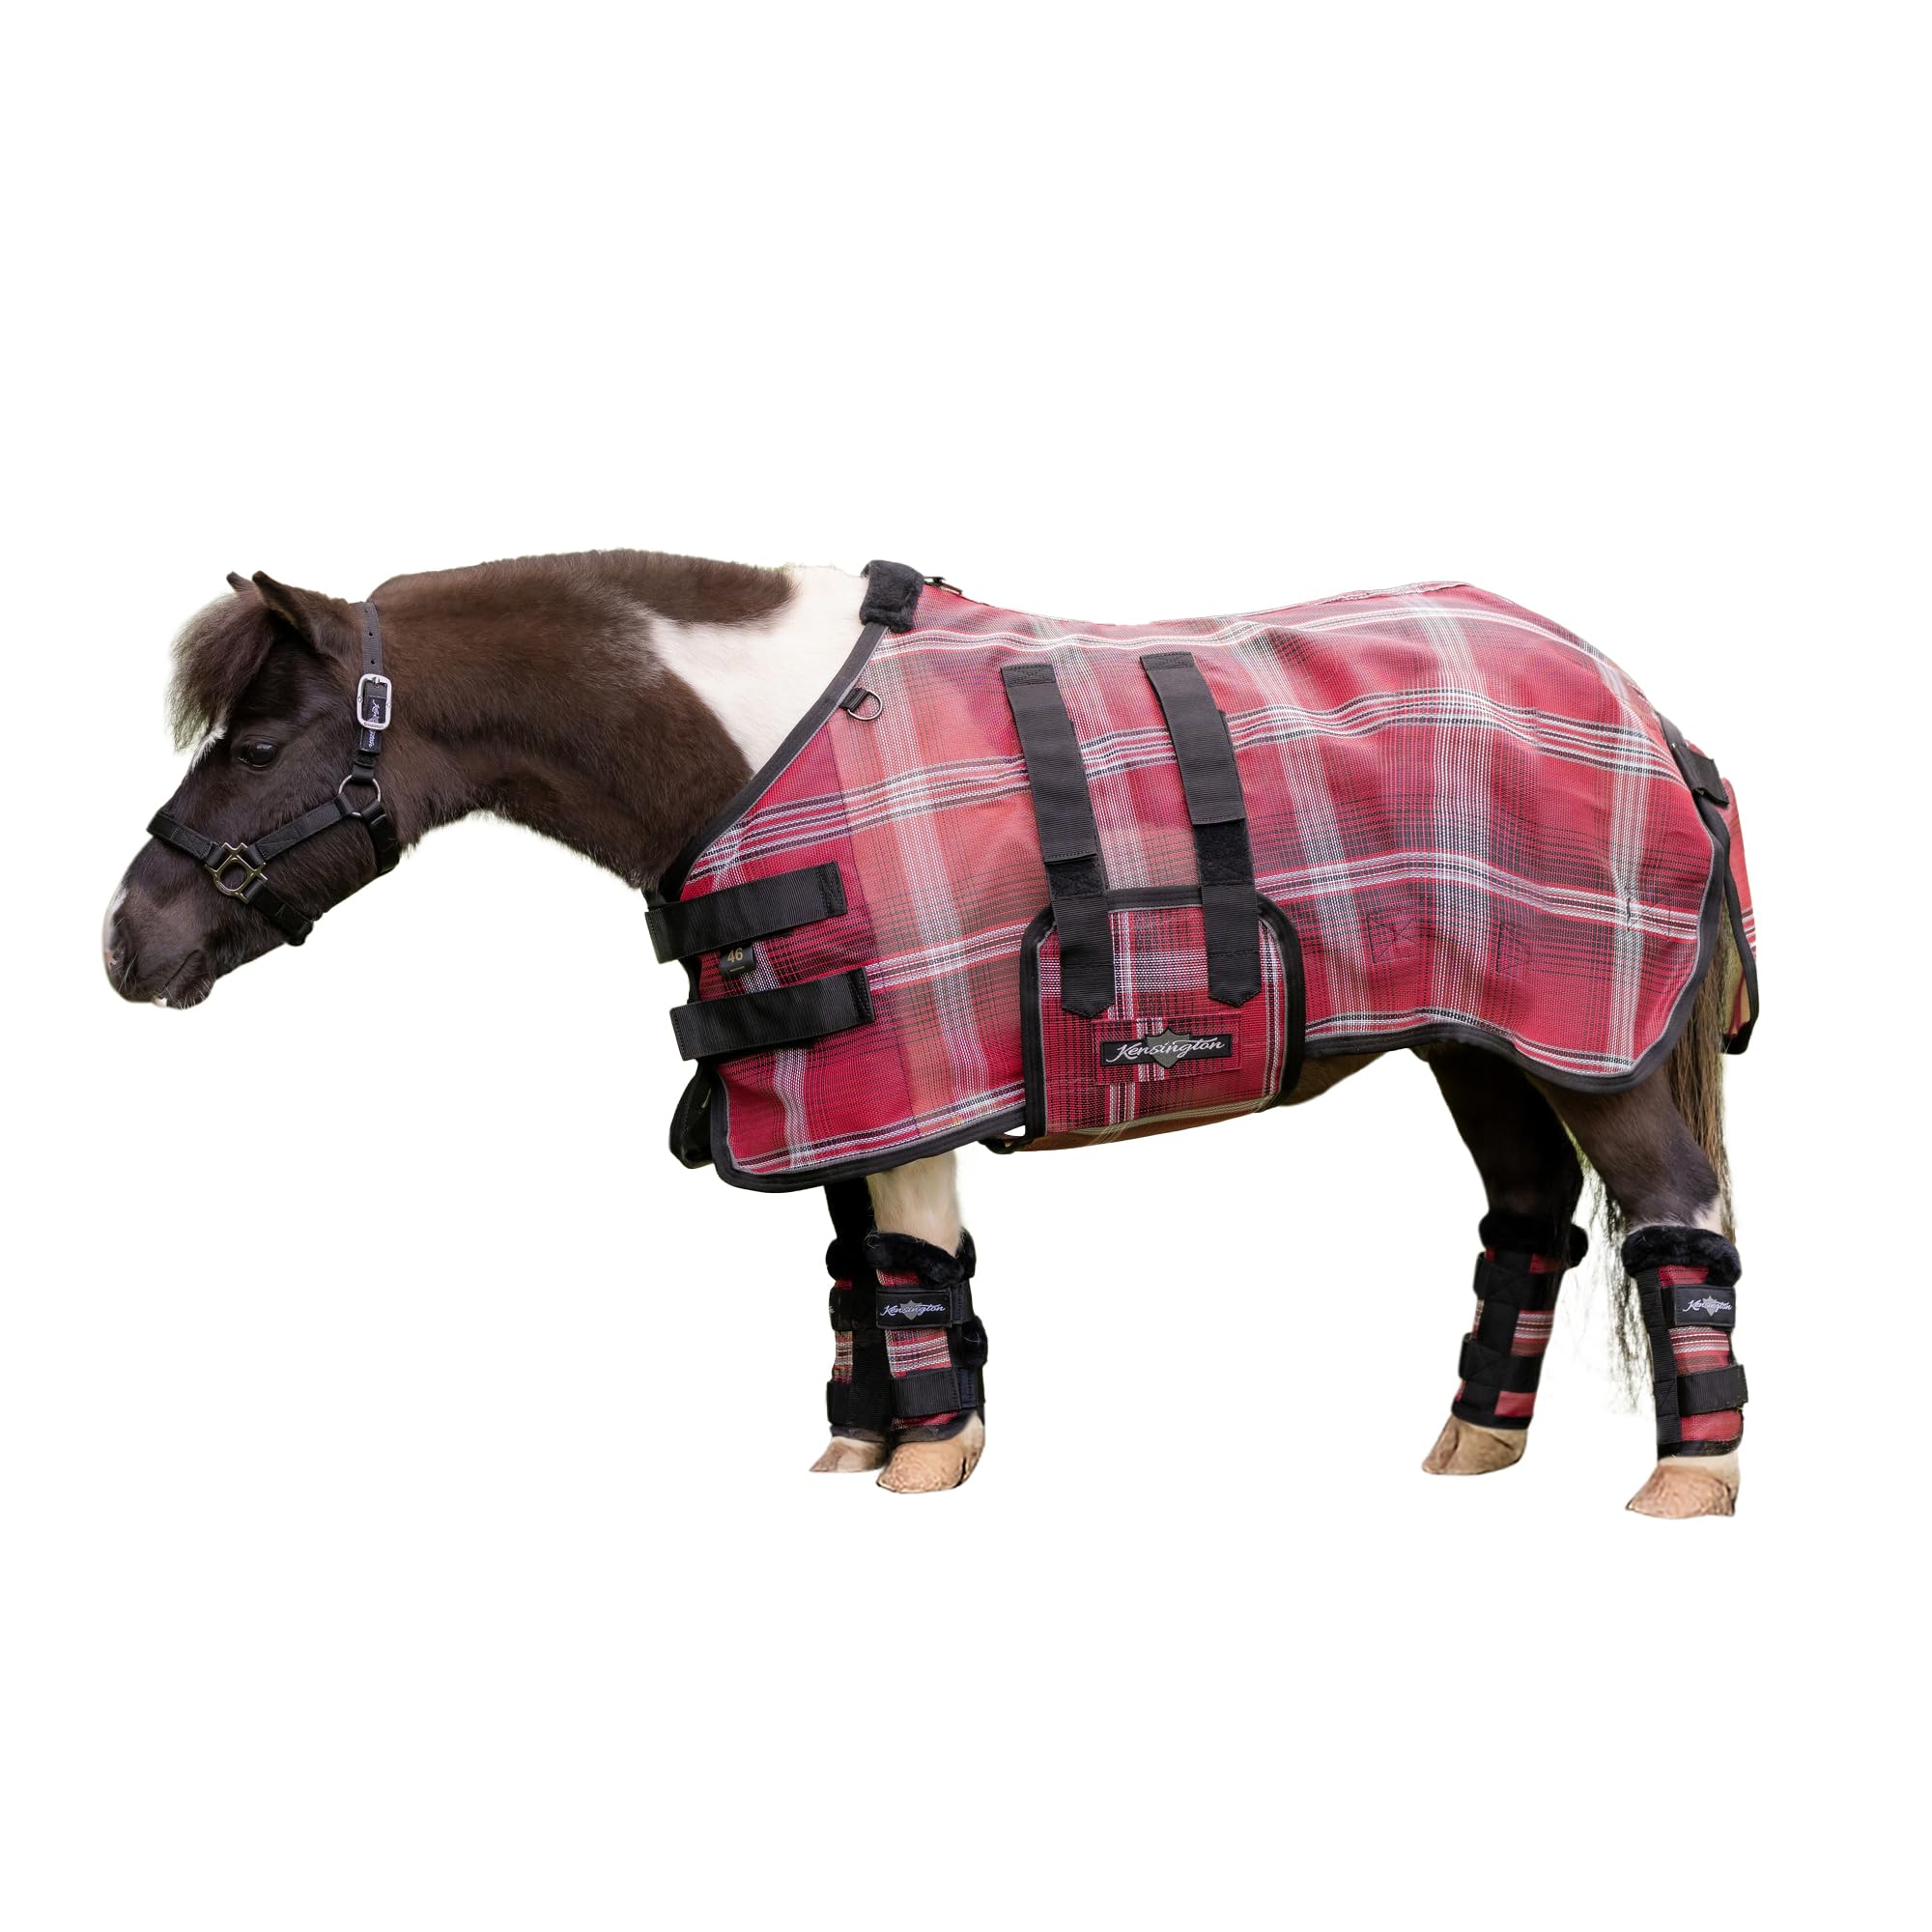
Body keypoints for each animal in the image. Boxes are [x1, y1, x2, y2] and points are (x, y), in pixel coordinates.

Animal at [103, 551, 1755, 1514]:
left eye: (259, 743)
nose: (128, 943)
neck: (750, 738)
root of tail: (1641, 702)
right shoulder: (823, 1077)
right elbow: (862, 1280)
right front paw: (855, 1449)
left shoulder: (908, 1075)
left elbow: (914, 1274)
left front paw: (924, 1469)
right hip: (1484, 1040)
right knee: (1531, 1214)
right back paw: (1473, 1446)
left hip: (1589, 1040)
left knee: (1677, 1213)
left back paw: (1688, 1481)